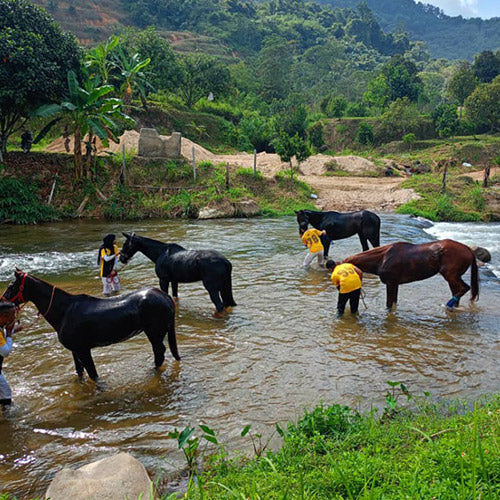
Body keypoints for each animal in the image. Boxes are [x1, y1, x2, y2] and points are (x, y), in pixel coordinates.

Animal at [0, 272, 181, 380]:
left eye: (10, 286)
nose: (2, 302)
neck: (64, 311)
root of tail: (165, 296)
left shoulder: (83, 350)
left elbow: (93, 375)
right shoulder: (75, 350)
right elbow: (80, 372)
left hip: (154, 333)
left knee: (159, 353)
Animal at [344, 240, 480, 310]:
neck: (382, 258)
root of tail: (469, 250)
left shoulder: (391, 283)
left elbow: (388, 304)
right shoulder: (395, 284)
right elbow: (394, 302)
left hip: (451, 275)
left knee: (464, 288)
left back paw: (449, 305)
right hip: (453, 277)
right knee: (457, 291)